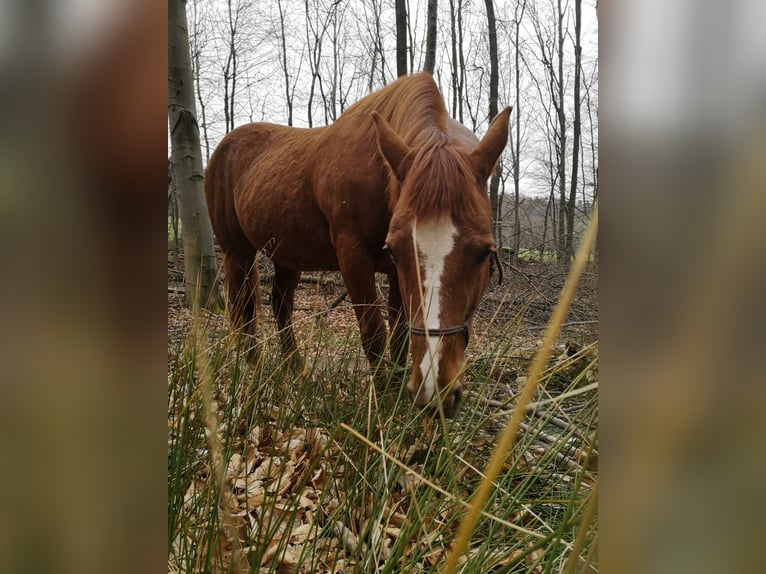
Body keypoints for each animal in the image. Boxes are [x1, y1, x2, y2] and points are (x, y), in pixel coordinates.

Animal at [204, 72, 510, 416]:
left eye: (484, 252)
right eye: (396, 250)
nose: (435, 389)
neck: (379, 174)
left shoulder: (394, 275)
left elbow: (399, 335)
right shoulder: (354, 257)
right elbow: (374, 333)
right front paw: (384, 403)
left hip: (286, 256)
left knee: (281, 305)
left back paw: (296, 370)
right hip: (237, 252)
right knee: (242, 306)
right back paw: (251, 367)